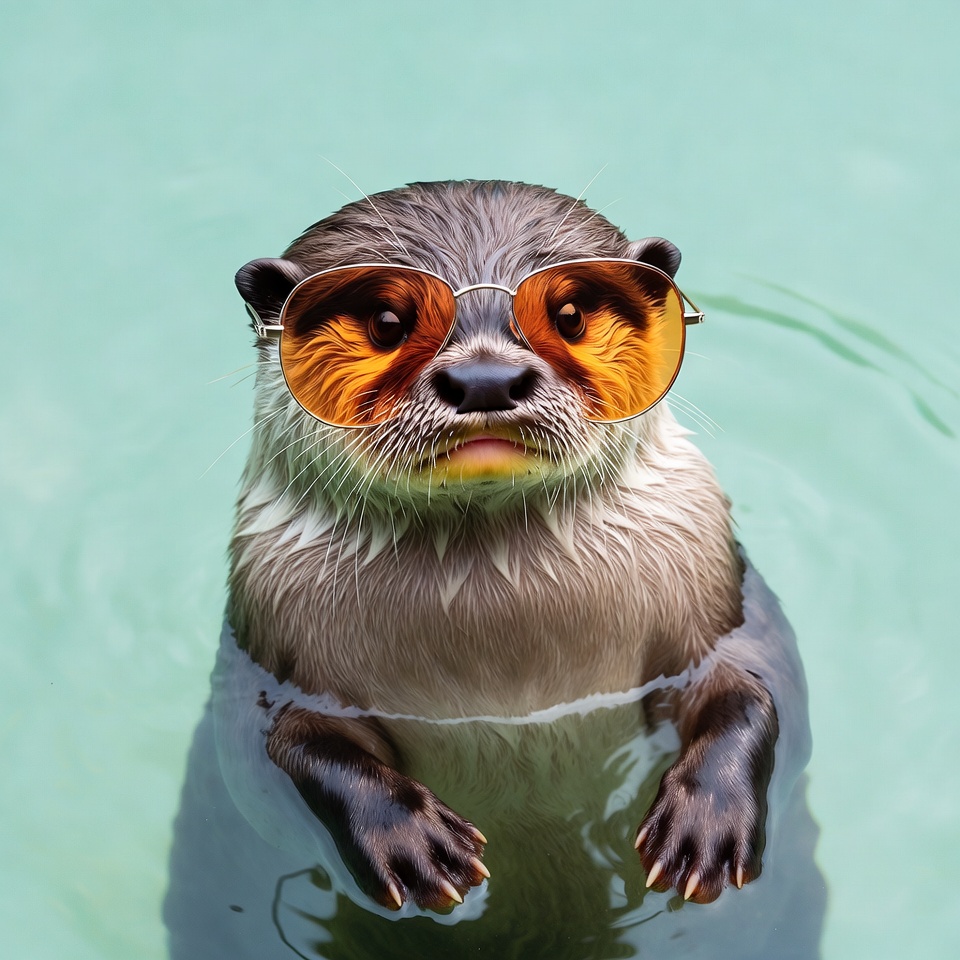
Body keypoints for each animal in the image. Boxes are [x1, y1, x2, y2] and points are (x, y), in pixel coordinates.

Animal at [191, 180, 818, 954]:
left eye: (570, 315)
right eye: (386, 322)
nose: (485, 377)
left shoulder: (714, 584)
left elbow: (760, 684)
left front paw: (708, 823)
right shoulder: (266, 647)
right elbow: (275, 754)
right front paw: (408, 841)